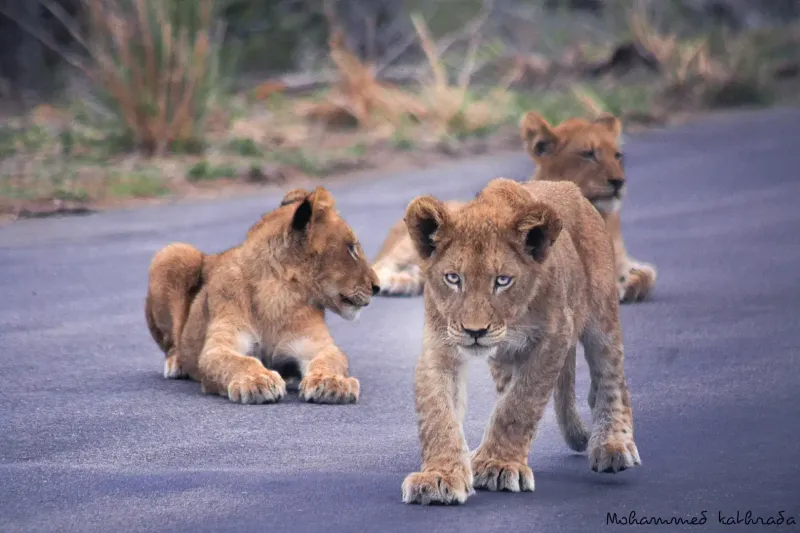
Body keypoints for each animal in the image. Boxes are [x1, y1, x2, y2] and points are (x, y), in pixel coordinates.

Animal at [145, 186, 380, 404]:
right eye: (351, 248)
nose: (377, 287)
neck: (277, 295)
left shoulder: (317, 346)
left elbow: (330, 361)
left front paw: (332, 383)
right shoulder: (219, 346)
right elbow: (239, 362)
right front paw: (257, 382)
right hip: (173, 253)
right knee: (172, 344)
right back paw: (177, 364)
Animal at [373, 112, 656, 303]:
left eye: (618, 156)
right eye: (588, 154)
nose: (619, 181)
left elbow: (647, 275)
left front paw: (628, 283)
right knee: (381, 268)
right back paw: (397, 283)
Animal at [400, 178, 641, 505]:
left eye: (502, 281)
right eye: (453, 278)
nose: (475, 331)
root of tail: (568, 187)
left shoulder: (554, 337)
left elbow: (520, 405)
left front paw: (499, 465)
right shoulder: (440, 344)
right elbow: (438, 414)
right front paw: (440, 476)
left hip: (601, 314)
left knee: (611, 377)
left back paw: (614, 445)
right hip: (503, 360)